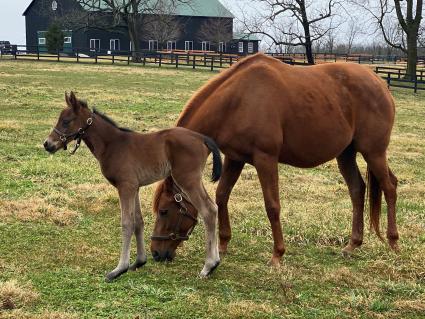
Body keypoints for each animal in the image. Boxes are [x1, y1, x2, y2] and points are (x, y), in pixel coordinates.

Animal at [43, 91, 222, 282]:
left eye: (66, 121)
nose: (47, 144)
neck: (112, 144)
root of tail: (202, 138)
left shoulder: (125, 186)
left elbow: (127, 223)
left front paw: (119, 269)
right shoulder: (134, 187)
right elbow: (138, 221)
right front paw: (139, 261)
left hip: (188, 180)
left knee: (208, 210)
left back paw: (208, 266)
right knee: (214, 207)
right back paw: (215, 262)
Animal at [153, 53, 400, 266]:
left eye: (164, 210)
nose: (156, 253)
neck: (238, 100)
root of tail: (380, 84)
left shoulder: (266, 160)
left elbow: (272, 206)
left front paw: (277, 254)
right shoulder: (235, 159)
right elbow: (222, 196)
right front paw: (223, 244)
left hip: (374, 152)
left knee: (389, 187)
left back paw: (393, 241)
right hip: (346, 154)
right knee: (357, 190)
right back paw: (353, 244)